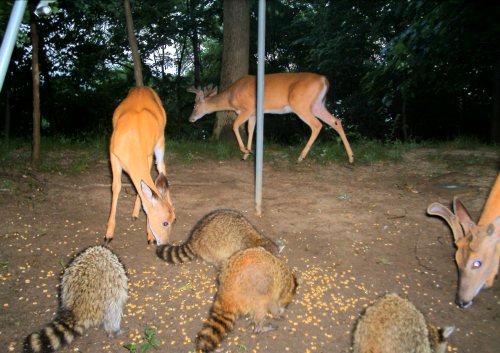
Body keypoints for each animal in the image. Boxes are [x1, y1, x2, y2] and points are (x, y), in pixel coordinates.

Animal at [105, 86, 176, 245]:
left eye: (174, 220)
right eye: (165, 222)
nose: (165, 243)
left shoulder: (148, 155)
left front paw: (149, 235)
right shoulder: (113, 155)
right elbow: (116, 187)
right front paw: (108, 234)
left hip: (160, 141)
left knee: (161, 168)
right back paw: (135, 213)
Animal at [186, 73, 354, 164]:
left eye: (195, 105)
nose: (190, 119)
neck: (231, 95)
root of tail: (324, 80)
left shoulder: (247, 108)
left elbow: (235, 126)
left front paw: (245, 150)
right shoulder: (253, 113)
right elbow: (250, 130)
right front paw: (247, 154)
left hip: (300, 104)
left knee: (317, 125)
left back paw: (300, 157)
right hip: (317, 105)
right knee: (336, 121)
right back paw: (351, 157)